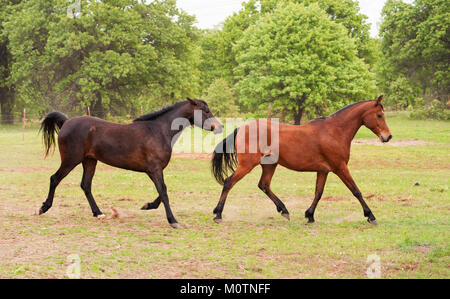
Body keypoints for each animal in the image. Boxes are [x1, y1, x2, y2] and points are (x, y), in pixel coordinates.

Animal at [37, 99, 222, 229]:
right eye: (206, 110)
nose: (219, 127)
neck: (159, 131)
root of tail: (67, 122)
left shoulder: (155, 170)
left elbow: (162, 191)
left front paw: (147, 206)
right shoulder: (154, 170)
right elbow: (163, 191)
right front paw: (173, 221)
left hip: (89, 161)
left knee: (86, 185)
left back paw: (99, 213)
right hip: (71, 160)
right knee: (55, 179)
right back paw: (43, 208)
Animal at [213, 96, 392, 225]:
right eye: (379, 115)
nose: (388, 136)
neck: (335, 131)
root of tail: (241, 128)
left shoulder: (323, 171)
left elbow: (318, 193)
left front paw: (309, 215)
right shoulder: (340, 168)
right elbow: (356, 191)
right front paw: (370, 215)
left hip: (269, 165)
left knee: (264, 185)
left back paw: (284, 210)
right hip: (247, 165)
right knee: (229, 182)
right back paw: (218, 214)